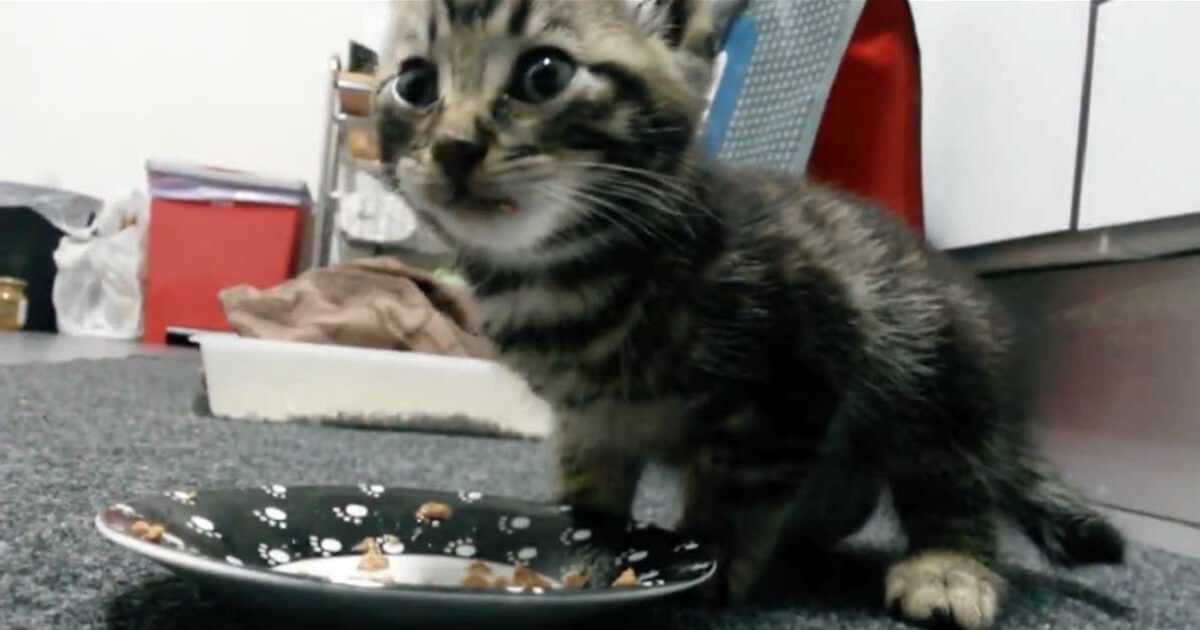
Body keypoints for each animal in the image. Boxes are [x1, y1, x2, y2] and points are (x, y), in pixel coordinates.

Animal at [374, 2, 1123, 624]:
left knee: (951, 478)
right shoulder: (588, 418)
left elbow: (738, 489)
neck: (563, 275)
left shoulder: (797, 374)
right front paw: (581, 540)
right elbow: (589, 484)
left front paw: (708, 561)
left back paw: (949, 566)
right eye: (414, 85)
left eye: (545, 73)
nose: (454, 146)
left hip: (937, 360)